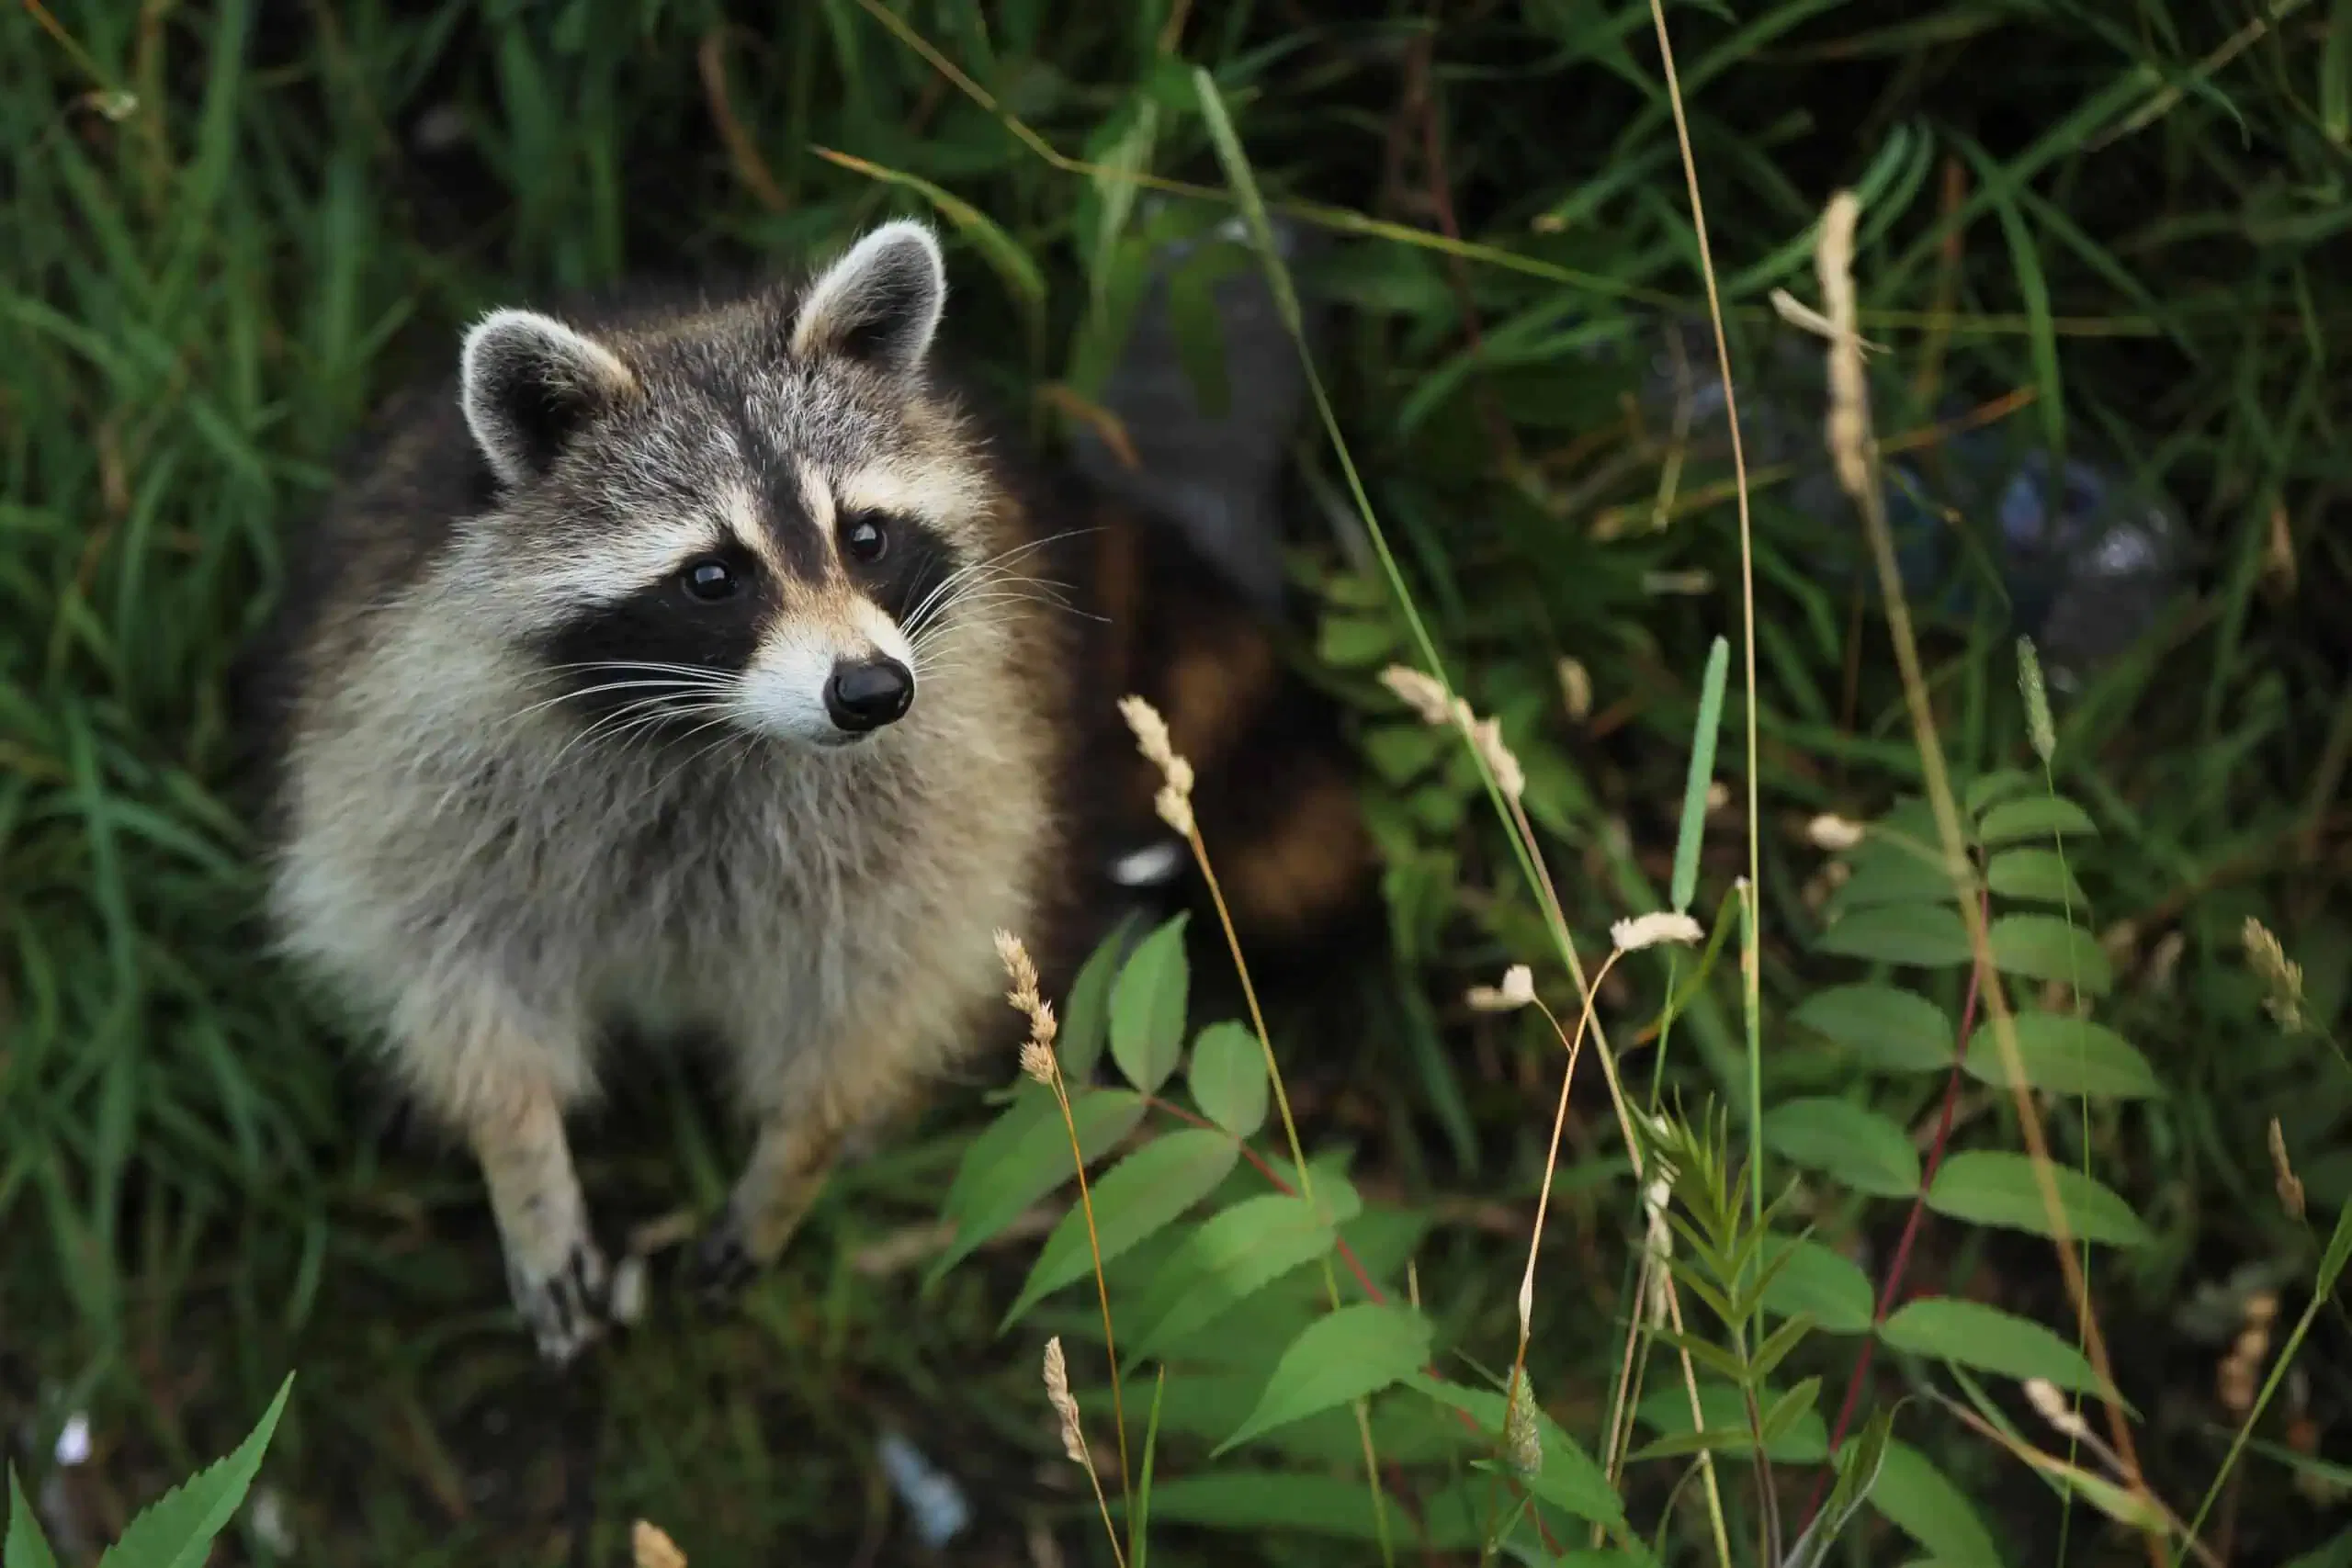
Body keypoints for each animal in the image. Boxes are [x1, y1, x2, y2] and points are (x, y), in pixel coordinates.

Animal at [241, 219, 1373, 1362]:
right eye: (712, 577)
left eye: (865, 536)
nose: (872, 692)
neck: (719, 732)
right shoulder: (420, 740)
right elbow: (451, 961)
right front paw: (522, 1162)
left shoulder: (954, 764)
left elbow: (882, 978)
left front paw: (799, 1154)